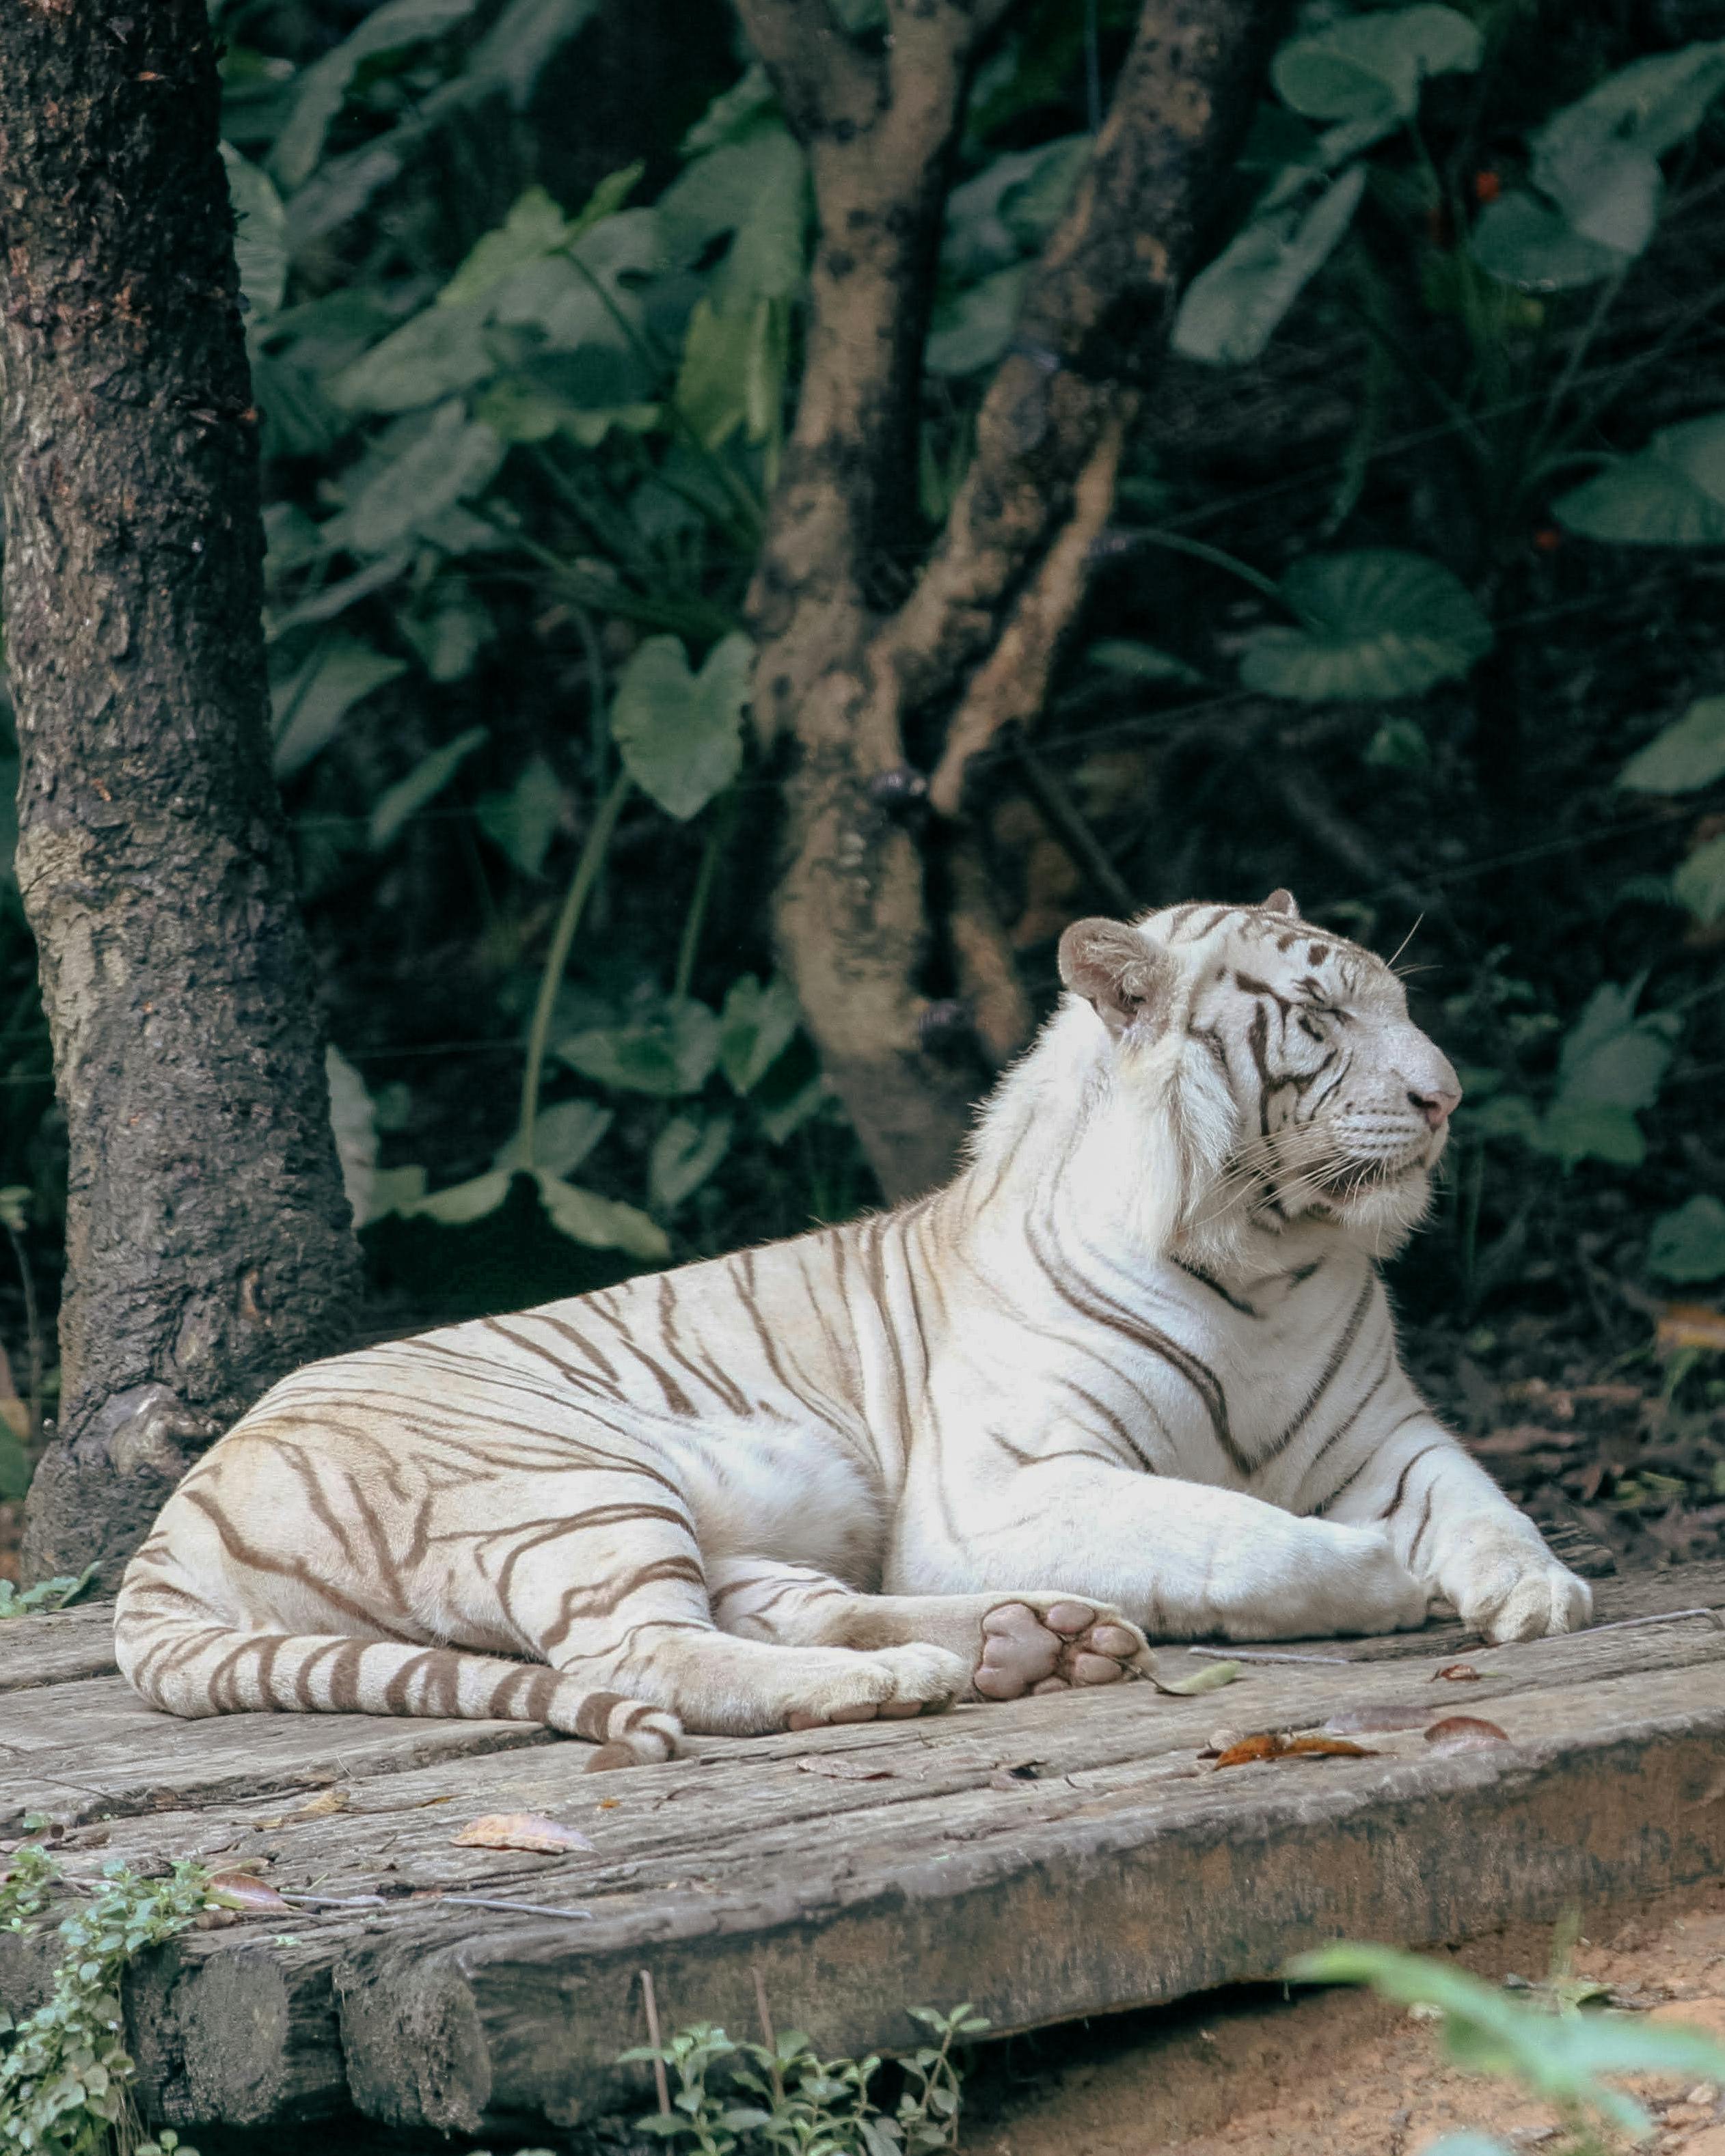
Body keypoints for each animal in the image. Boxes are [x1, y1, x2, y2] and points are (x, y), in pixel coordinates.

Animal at [118, 892, 1587, 1768]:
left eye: (1397, 1003)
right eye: (1322, 1017)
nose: (1446, 1094)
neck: (1265, 1264)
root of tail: (175, 1518)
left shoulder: (1383, 1432)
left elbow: (1478, 1502)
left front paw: (1533, 1592)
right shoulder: (999, 1486)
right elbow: (1224, 1531)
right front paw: (1376, 1577)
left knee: (787, 1606)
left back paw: (1028, 1642)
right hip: (566, 1484)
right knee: (637, 1649)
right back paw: (894, 1687)